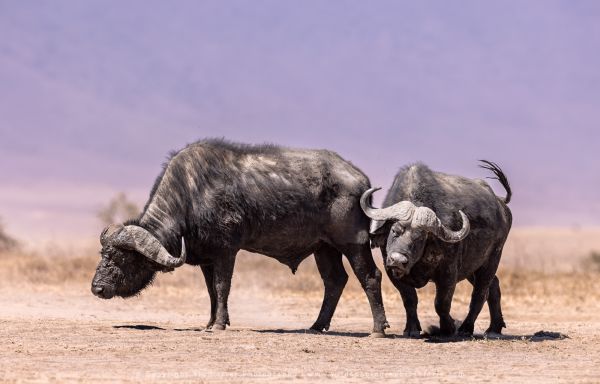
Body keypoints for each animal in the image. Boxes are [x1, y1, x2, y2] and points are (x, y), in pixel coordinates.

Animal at [89, 139, 390, 336]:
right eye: (103, 255)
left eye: (122, 258)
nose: (97, 289)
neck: (191, 196)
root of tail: (360, 179)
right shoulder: (207, 258)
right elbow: (211, 292)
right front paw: (210, 323)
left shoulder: (226, 252)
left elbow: (223, 287)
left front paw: (220, 324)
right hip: (324, 248)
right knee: (334, 281)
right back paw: (317, 326)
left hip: (353, 243)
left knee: (370, 277)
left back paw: (378, 329)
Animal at [358, 161, 512, 336]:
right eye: (395, 231)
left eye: (419, 238)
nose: (397, 260)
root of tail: (501, 204)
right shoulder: (392, 271)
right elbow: (409, 298)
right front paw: (411, 329)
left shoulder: (448, 273)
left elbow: (441, 303)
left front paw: (448, 327)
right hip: (473, 267)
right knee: (493, 286)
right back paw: (494, 327)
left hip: (492, 259)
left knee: (480, 293)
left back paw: (466, 328)